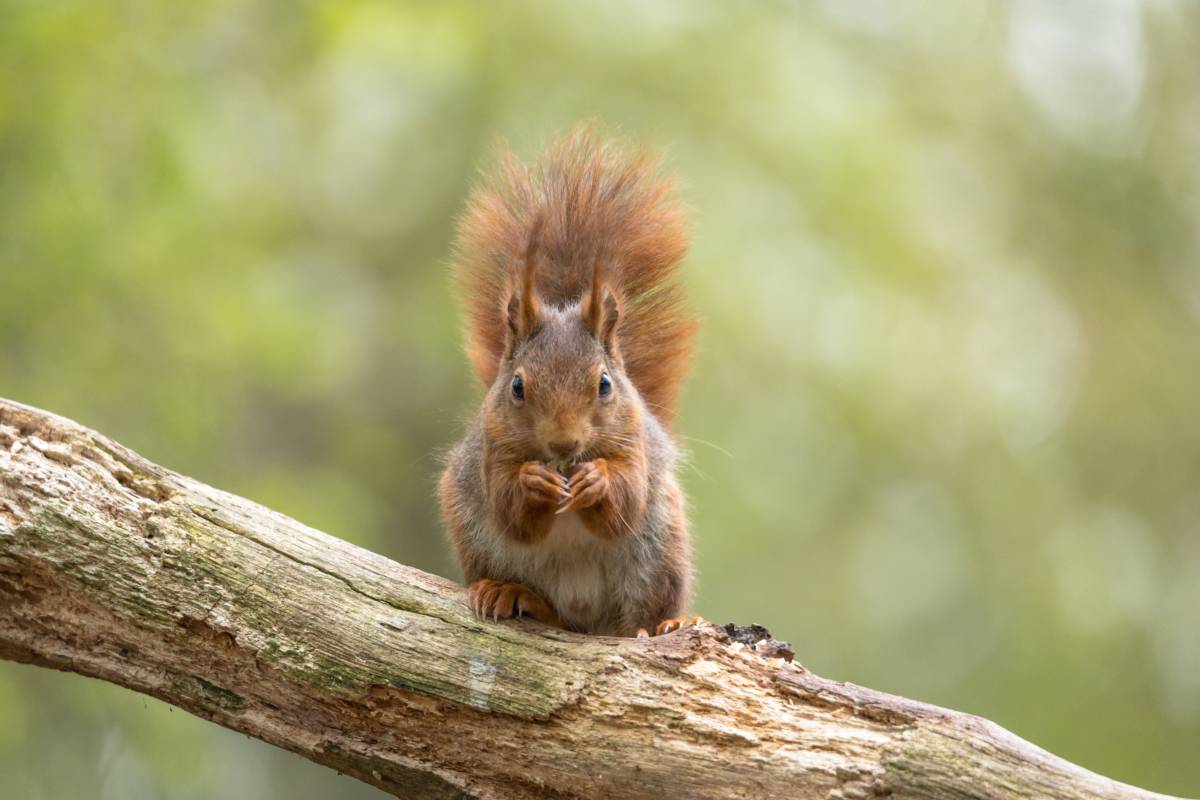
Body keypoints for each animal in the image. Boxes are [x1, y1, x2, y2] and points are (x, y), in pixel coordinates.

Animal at [436, 126, 700, 638]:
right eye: (517, 387)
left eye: (605, 385)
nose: (563, 444)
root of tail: (589, 621)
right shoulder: (493, 449)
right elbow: (509, 508)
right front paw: (533, 482)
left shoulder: (634, 444)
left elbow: (625, 501)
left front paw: (597, 480)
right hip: (473, 530)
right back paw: (513, 594)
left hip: (660, 545)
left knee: (640, 614)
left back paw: (668, 624)